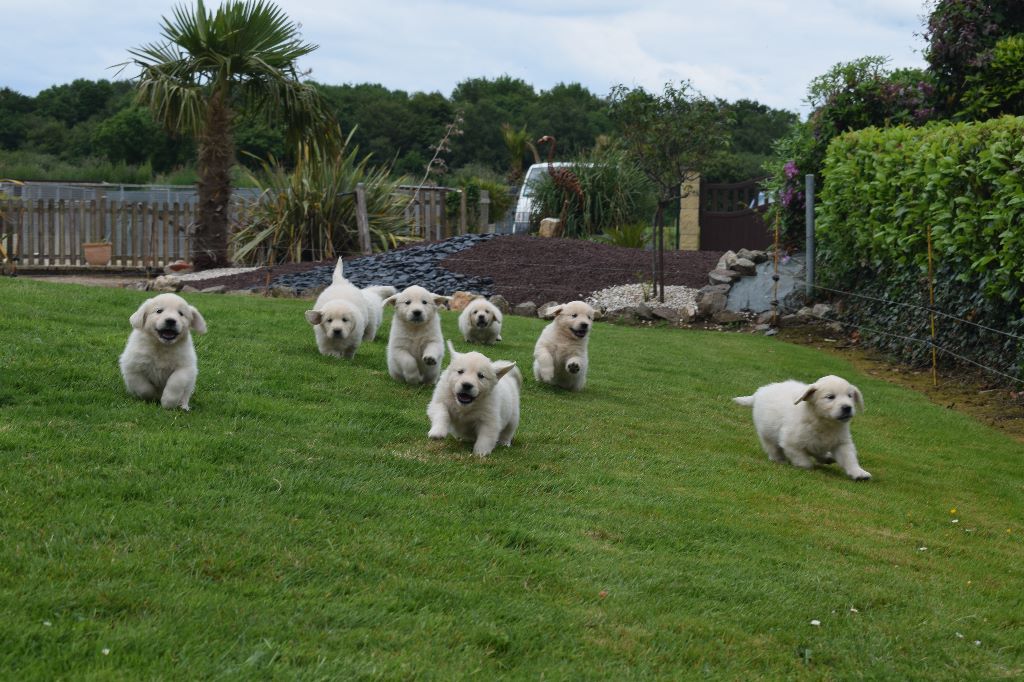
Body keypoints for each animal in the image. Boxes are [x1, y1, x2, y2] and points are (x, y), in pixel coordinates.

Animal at [733, 374, 868, 481]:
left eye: (850, 396)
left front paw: (858, 473)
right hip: (766, 433)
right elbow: (803, 461)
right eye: (830, 397)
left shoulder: (841, 442)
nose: (847, 407)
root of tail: (760, 392)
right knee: (772, 448)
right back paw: (779, 459)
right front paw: (807, 466)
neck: (823, 422)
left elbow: (849, 458)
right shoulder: (791, 442)